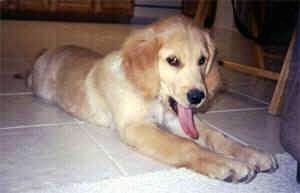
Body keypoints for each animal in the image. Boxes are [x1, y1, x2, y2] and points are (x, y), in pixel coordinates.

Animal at [29, 15, 278, 182]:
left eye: (202, 60)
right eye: (173, 60)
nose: (198, 97)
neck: (155, 98)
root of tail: (46, 52)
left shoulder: (179, 119)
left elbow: (218, 136)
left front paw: (252, 153)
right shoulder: (136, 127)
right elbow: (186, 145)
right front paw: (227, 164)